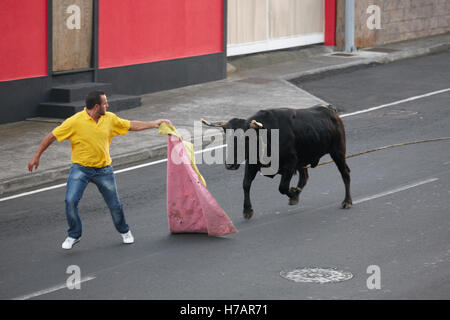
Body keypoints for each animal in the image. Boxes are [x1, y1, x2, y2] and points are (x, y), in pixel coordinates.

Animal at [202, 105, 354, 220]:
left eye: (245, 138)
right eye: (226, 138)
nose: (230, 165)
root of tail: (330, 109)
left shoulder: (290, 163)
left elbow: (282, 187)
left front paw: (293, 192)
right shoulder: (252, 164)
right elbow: (246, 184)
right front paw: (247, 210)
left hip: (338, 151)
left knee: (345, 173)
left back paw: (347, 201)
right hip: (304, 159)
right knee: (305, 176)